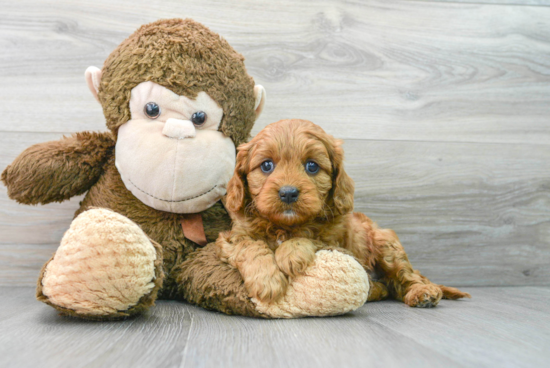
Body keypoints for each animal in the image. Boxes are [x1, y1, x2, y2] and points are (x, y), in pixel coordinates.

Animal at [218, 119, 472, 306]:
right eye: (266, 165)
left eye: (312, 166)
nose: (288, 193)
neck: (285, 225)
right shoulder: (231, 237)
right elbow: (250, 246)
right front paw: (267, 280)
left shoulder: (335, 243)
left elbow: (310, 238)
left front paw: (290, 253)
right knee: (388, 287)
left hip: (387, 244)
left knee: (406, 277)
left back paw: (423, 292)